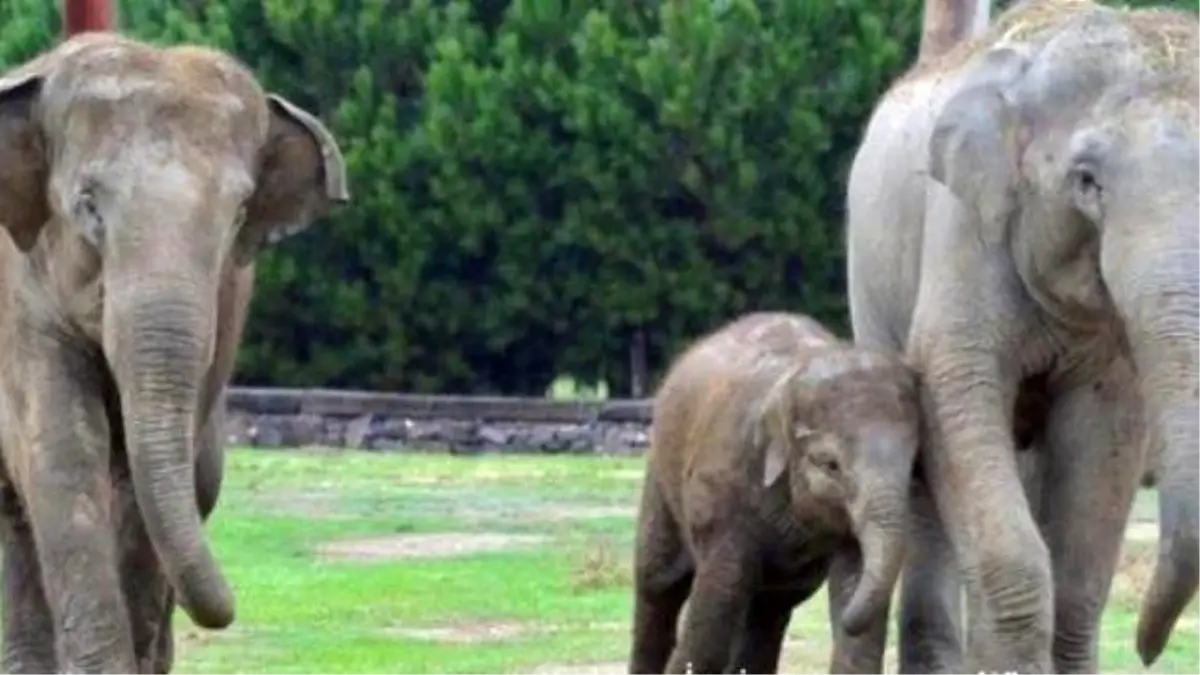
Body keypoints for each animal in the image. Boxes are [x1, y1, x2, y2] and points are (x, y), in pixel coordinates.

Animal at [0, 30, 350, 667]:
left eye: (239, 215)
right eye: (88, 206)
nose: (229, 606)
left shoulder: (226, 305)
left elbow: (154, 477)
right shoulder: (17, 291)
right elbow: (62, 452)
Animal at [628, 309, 916, 672]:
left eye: (914, 464)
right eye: (830, 465)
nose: (846, 621)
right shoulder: (724, 488)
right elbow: (717, 602)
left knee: (767, 611)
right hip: (661, 472)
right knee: (659, 583)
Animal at [844, 0, 1200, 667]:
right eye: (1086, 180)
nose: (1148, 650)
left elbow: (1103, 440)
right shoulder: (964, 226)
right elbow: (956, 389)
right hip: (869, 280)